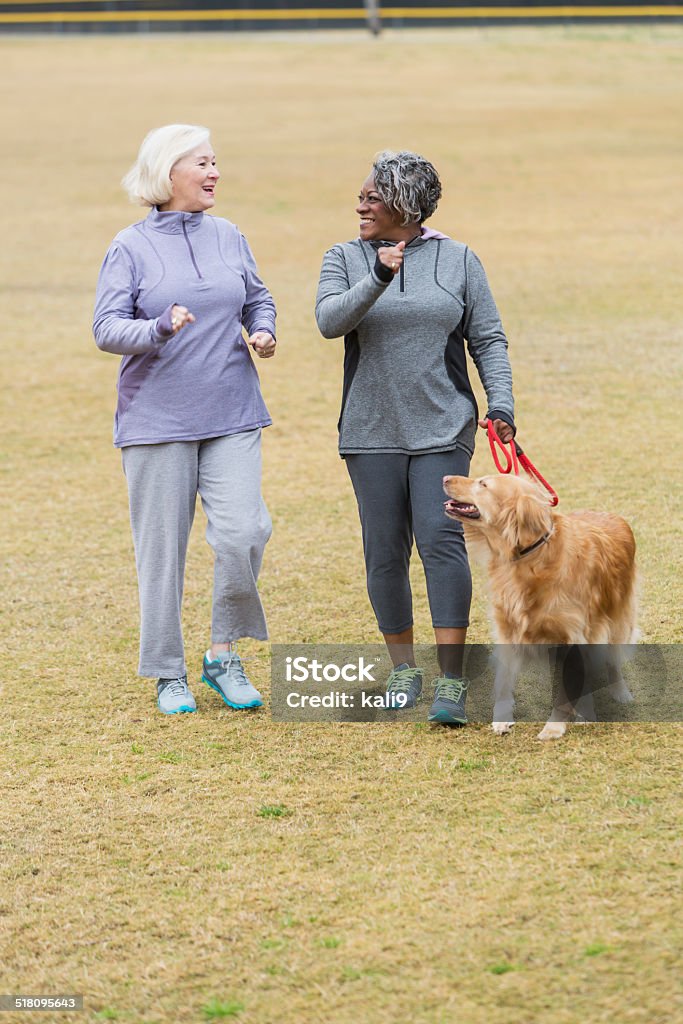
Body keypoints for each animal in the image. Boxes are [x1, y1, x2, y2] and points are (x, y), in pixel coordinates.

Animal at [446, 475, 638, 741]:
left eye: (483, 484)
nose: (444, 478)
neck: (530, 558)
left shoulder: (572, 638)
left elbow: (565, 688)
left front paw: (554, 727)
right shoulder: (508, 629)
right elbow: (504, 680)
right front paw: (502, 718)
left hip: (616, 618)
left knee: (613, 659)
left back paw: (618, 693)